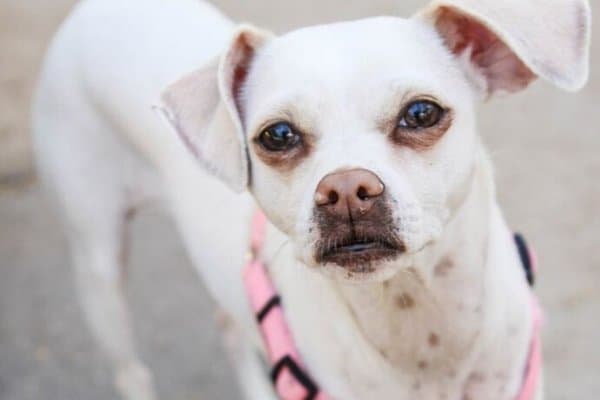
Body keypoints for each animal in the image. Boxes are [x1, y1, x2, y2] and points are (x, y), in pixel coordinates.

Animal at [30, 0, 588, 398]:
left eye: (421, 113)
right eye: (277, 135)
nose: (345, 190)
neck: (418, 326)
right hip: (99, 266)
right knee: (132, 372)